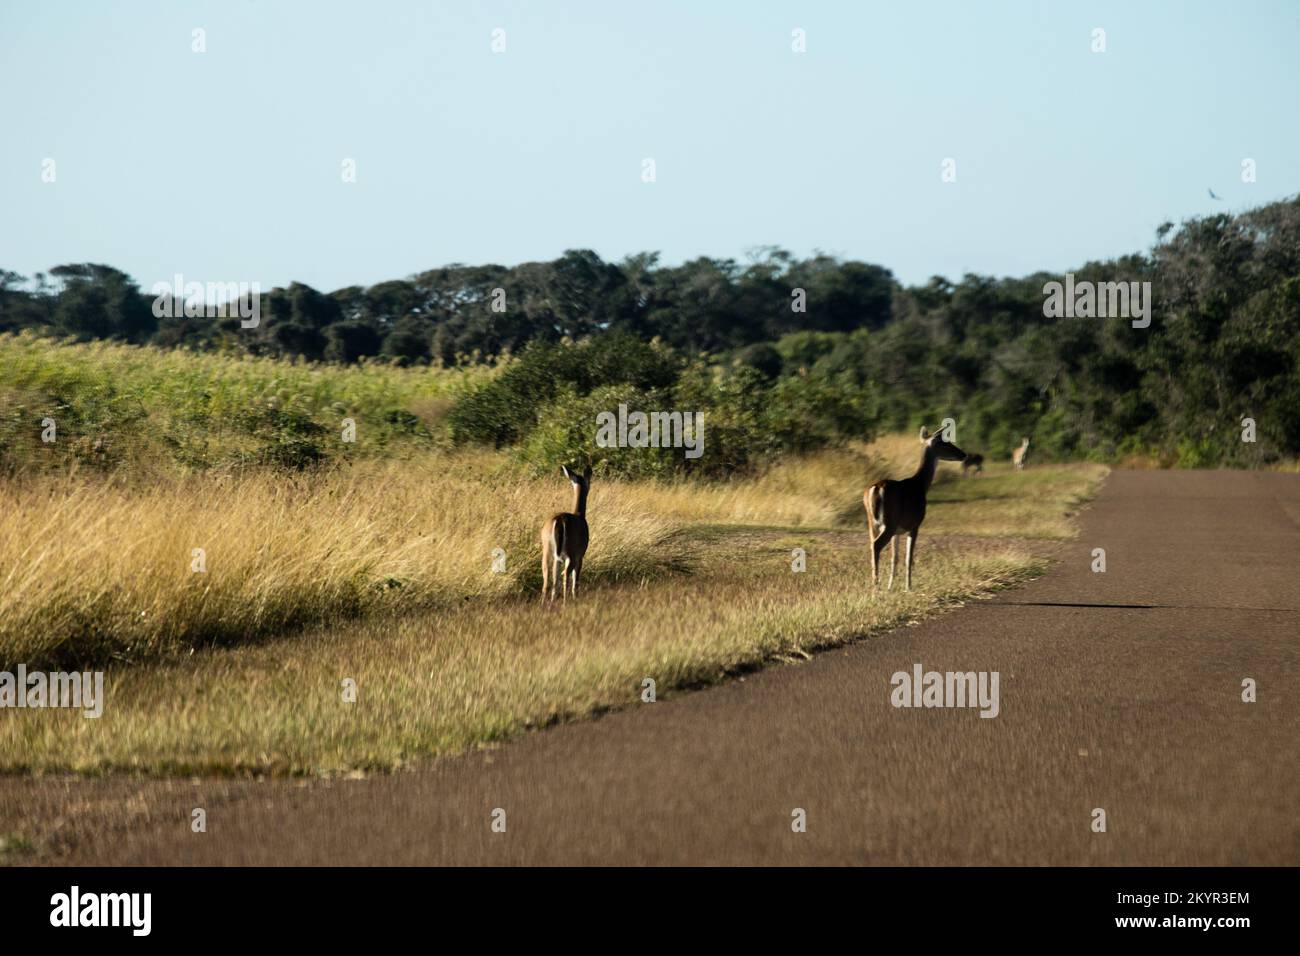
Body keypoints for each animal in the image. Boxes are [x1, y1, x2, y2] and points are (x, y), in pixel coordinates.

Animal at [540, 465, 592, 606]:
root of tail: (559, 520)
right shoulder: (580, 555)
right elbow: (575, 580)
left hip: (547, 551)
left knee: (548, 580)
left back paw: (545, 604)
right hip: (571, 554)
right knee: (566, 577)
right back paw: (565, 602)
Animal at [863, 426, 967, 590]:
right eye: (946, 443)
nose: (963, 454)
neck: (921, 485)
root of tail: (876, 488)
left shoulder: (898, 530)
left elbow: (895, 558)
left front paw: (890, 587)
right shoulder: (915, 524)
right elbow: (908, 558)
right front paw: (908, 587)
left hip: (873, 522)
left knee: (872, 544)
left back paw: (876, 585)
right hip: (889, 522)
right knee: (876, 545)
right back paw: (876, 587)